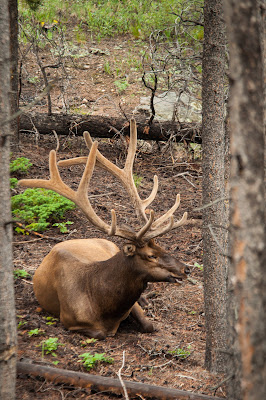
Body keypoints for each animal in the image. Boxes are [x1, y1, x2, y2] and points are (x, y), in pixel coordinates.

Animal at [19, 119, 189, 340]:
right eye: (151, 255)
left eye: (163, 248)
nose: (186, 269)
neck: (102, 304)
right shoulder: (69, 321)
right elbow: (100, 333)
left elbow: (149, 325)